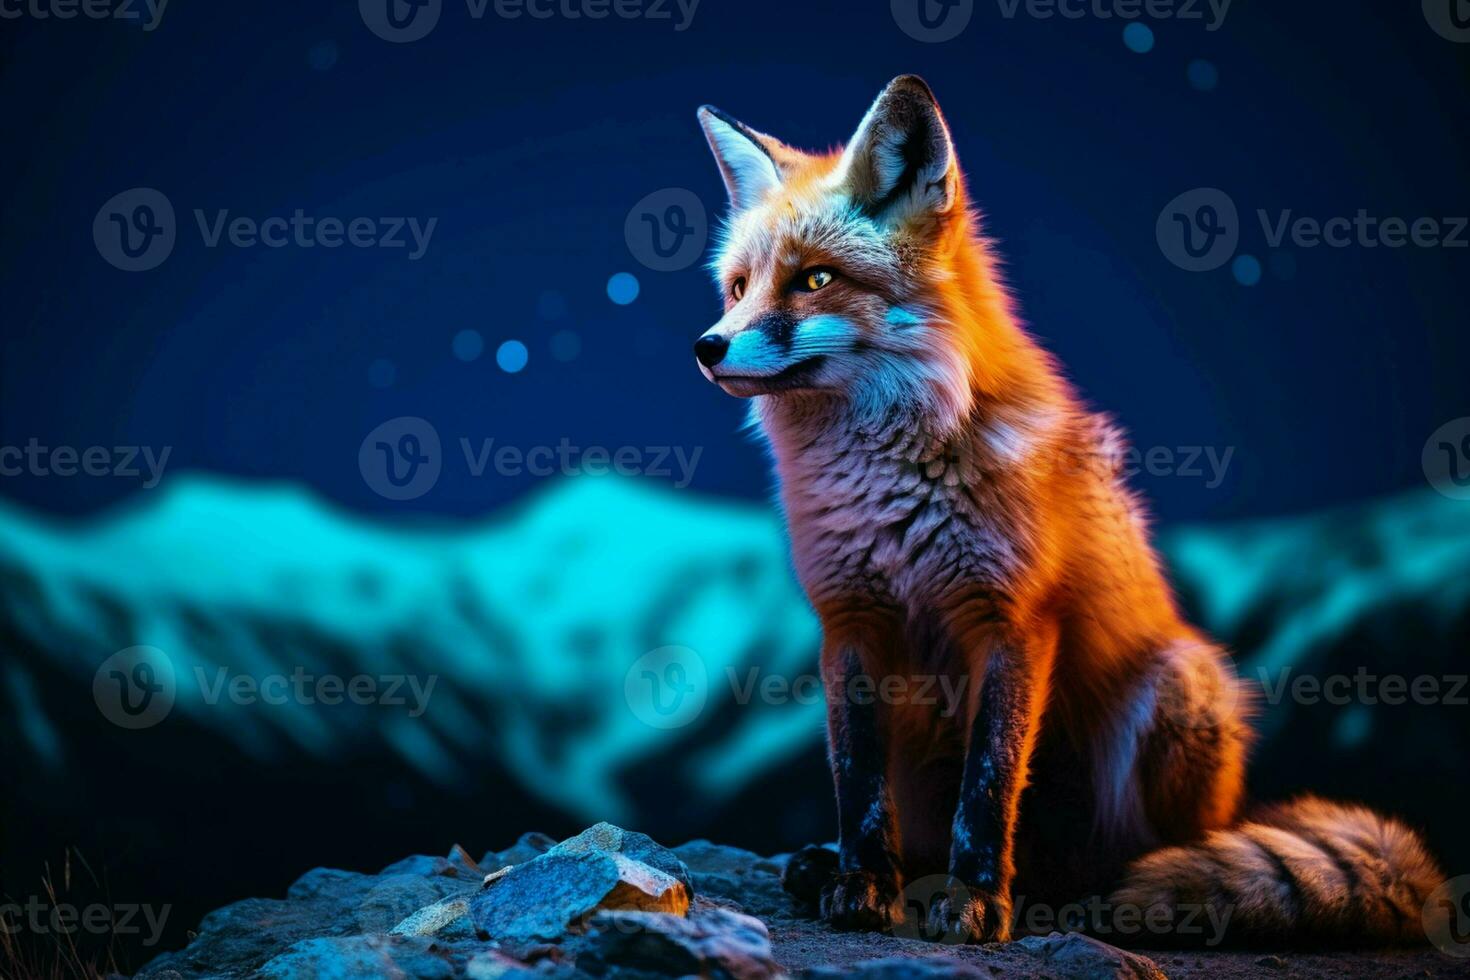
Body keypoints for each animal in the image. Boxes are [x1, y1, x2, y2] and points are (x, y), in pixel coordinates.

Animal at [693, 76, 1440, 952]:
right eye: (738, 287)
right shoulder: (850, 622)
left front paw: (976, 902)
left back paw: (1085, 896)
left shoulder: (1012, 620)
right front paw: (863, 883)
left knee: (1138, 856)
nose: (707, 346)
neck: (889, 482)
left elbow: (987, 788)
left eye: (814, 280)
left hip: (1181, 689)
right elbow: (858, 784)